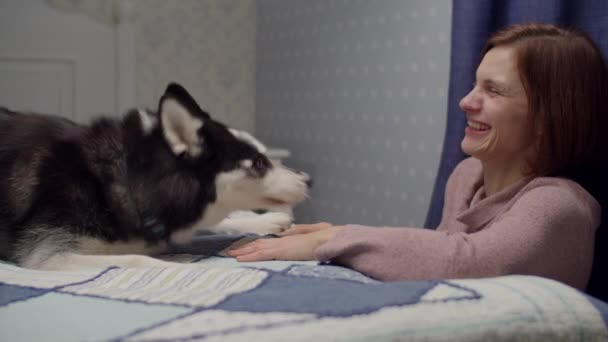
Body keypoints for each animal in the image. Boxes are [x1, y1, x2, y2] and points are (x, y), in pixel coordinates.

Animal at [0, 83, 312, 270]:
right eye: (259, 163)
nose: (309, 179)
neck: (123, 177)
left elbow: (215, 222)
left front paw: (261, 220)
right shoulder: (47, 254)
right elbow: (139, 259)